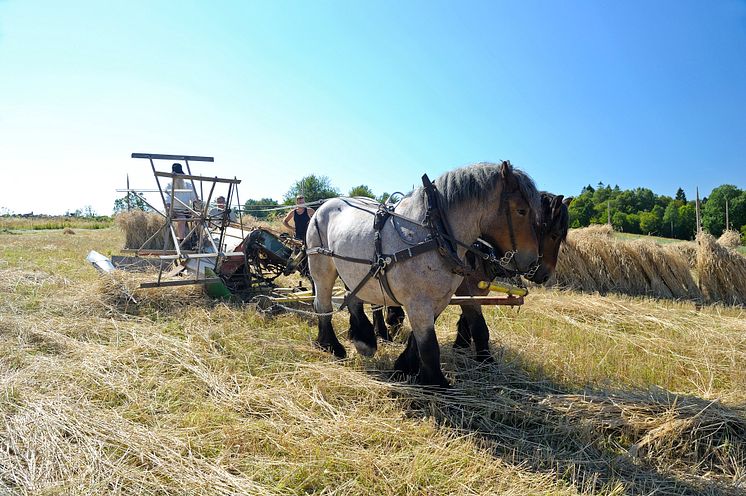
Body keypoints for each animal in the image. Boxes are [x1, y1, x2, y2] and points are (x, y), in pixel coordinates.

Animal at [306, 163, 536, 388]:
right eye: (521, 210)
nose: (532, 263)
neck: (434, 236)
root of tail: (325, 205)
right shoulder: (419, 302)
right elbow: (429, 346)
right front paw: (437, 384)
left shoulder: (440, 300)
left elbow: (420, 341)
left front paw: (405, 367)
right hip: (322, 268)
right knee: (323, 305)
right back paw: (331, 345)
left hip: (354, 272)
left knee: (352, 299)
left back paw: (364, 339)